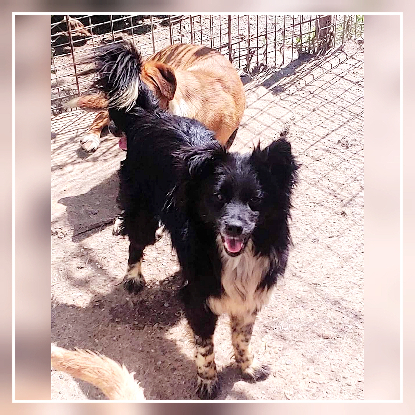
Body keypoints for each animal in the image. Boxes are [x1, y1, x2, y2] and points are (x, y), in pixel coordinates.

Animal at [91, 40, 298, 399]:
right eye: (218, 197)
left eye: (256, 200)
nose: (234, 227)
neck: (236, 258)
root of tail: (151, 115)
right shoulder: (199, 302)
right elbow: (205, 347)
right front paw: (207, 381)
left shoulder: (249, 300)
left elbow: (242, 338)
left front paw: (248, 367)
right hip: (142, 211)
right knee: (135, 242)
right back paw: (134, 278)